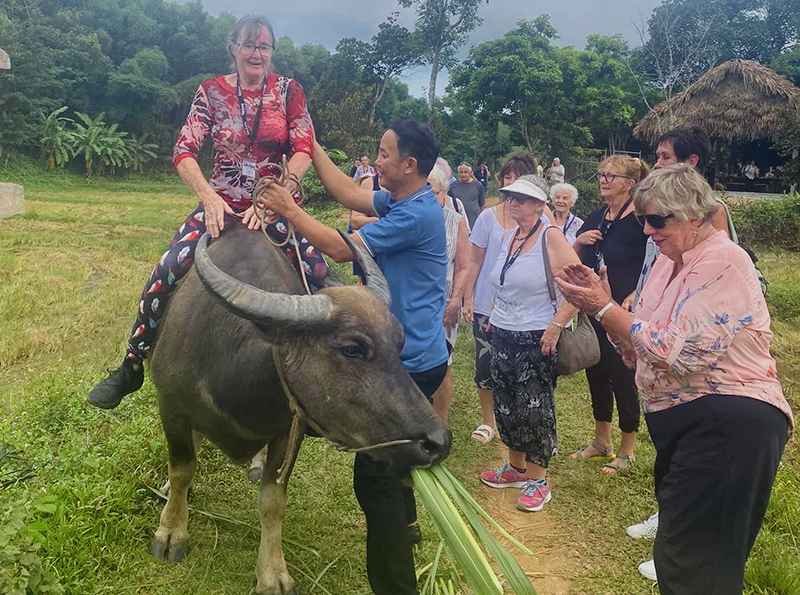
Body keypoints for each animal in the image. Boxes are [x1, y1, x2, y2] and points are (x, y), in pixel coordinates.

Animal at [148, 225, 454, 595]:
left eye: (399, 343)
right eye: (352, 348)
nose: (438, 442)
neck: (228, 368)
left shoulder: (287, 429)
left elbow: (272, 500)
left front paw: (272, 573)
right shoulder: (171, 406)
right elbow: (182, 469)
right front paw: (171, 532)